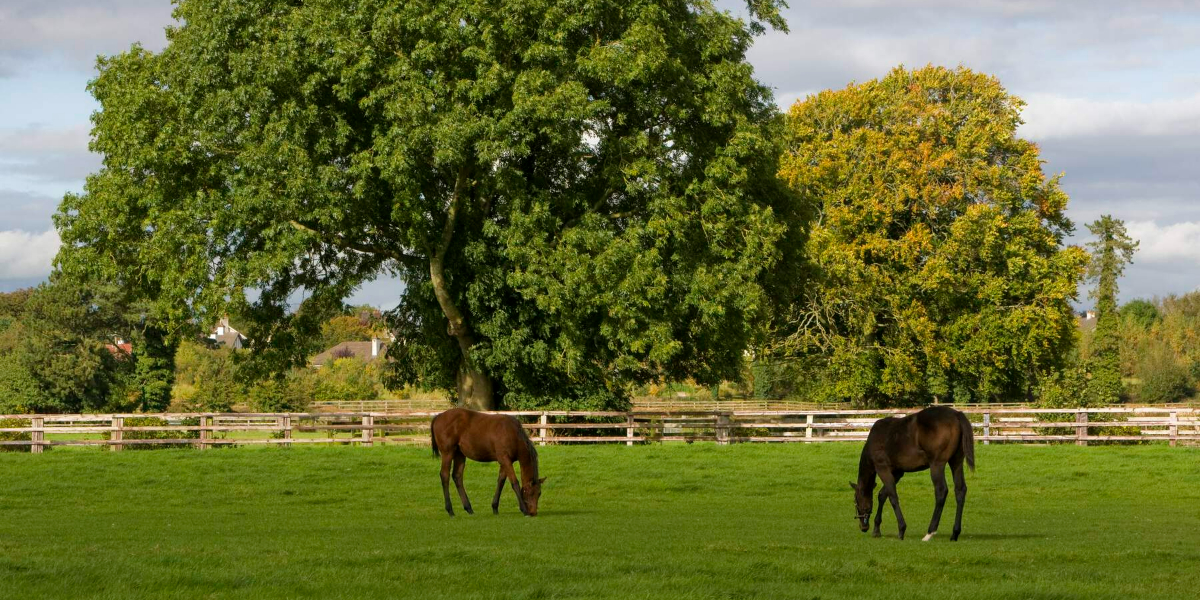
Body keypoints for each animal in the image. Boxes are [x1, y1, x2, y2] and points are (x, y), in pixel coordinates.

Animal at [850, 405, 975, 541]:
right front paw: (877, 529)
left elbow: (892, 496)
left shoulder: (882, 468)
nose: (863, 527)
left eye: (856, 500)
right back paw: (955, 533)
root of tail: (956, 414)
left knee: (941, 491)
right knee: (960, 490)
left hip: (937, 464)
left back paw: (930, 532)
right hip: (956, 462)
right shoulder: (897, 472)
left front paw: (901, 529)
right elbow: (883, 494)